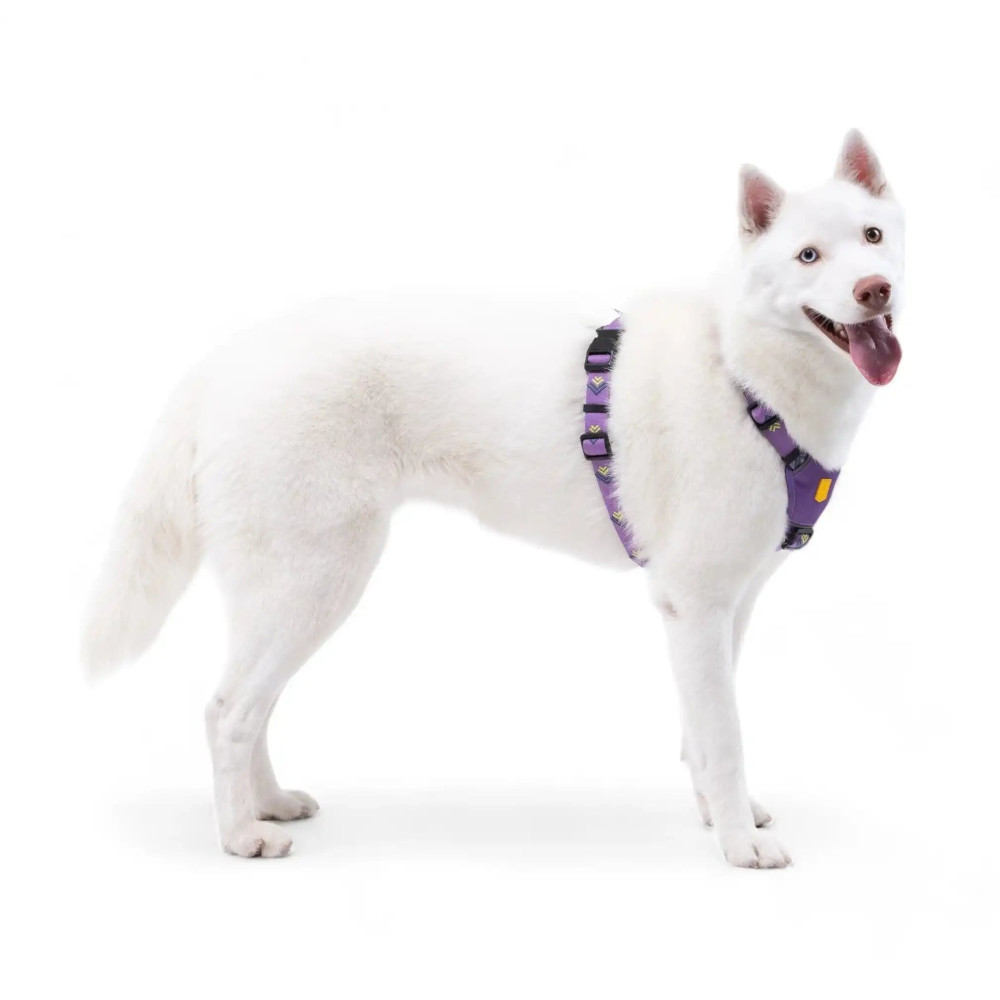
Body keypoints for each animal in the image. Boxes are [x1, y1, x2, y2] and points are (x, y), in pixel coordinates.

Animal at [84, 131, 903, 868]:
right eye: (807, 256)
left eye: (873, 236)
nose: (875, 289)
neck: (743, 373)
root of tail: (225, 361)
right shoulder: (695, 603)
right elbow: (724, 736)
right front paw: (737, 844)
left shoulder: (727, 606)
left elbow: (700, 733)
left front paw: (717, 815)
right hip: (315, 581)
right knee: (227, 711)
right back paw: (240, 836)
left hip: (289, 592)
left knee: (251, 704)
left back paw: (267, 802)